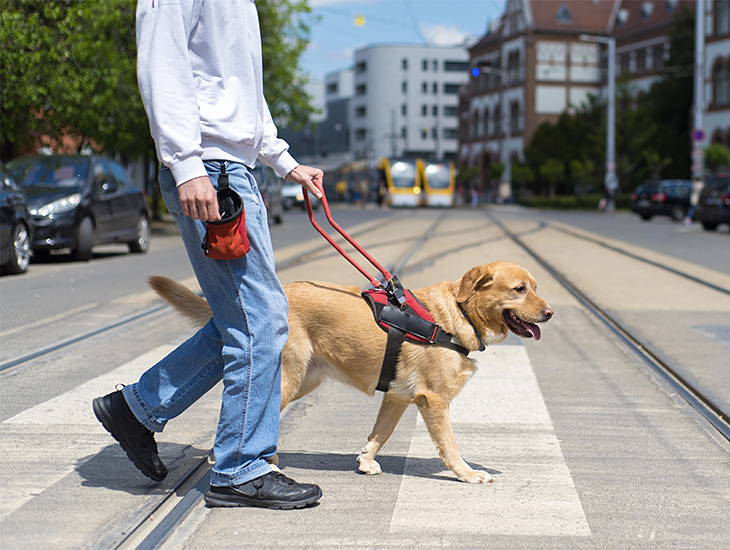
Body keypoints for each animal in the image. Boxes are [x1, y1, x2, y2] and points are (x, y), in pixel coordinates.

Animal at [149, 260, 552, 486]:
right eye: (519, 289)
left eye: (536, 287)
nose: (549, 313)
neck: (458, 313)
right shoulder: (434, 401)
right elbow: (450, 446)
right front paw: (467, 474)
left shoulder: (397, 398)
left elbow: (379, 434)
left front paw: (366, 461)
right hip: (287, 379)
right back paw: (252, 466)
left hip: (304, 380)